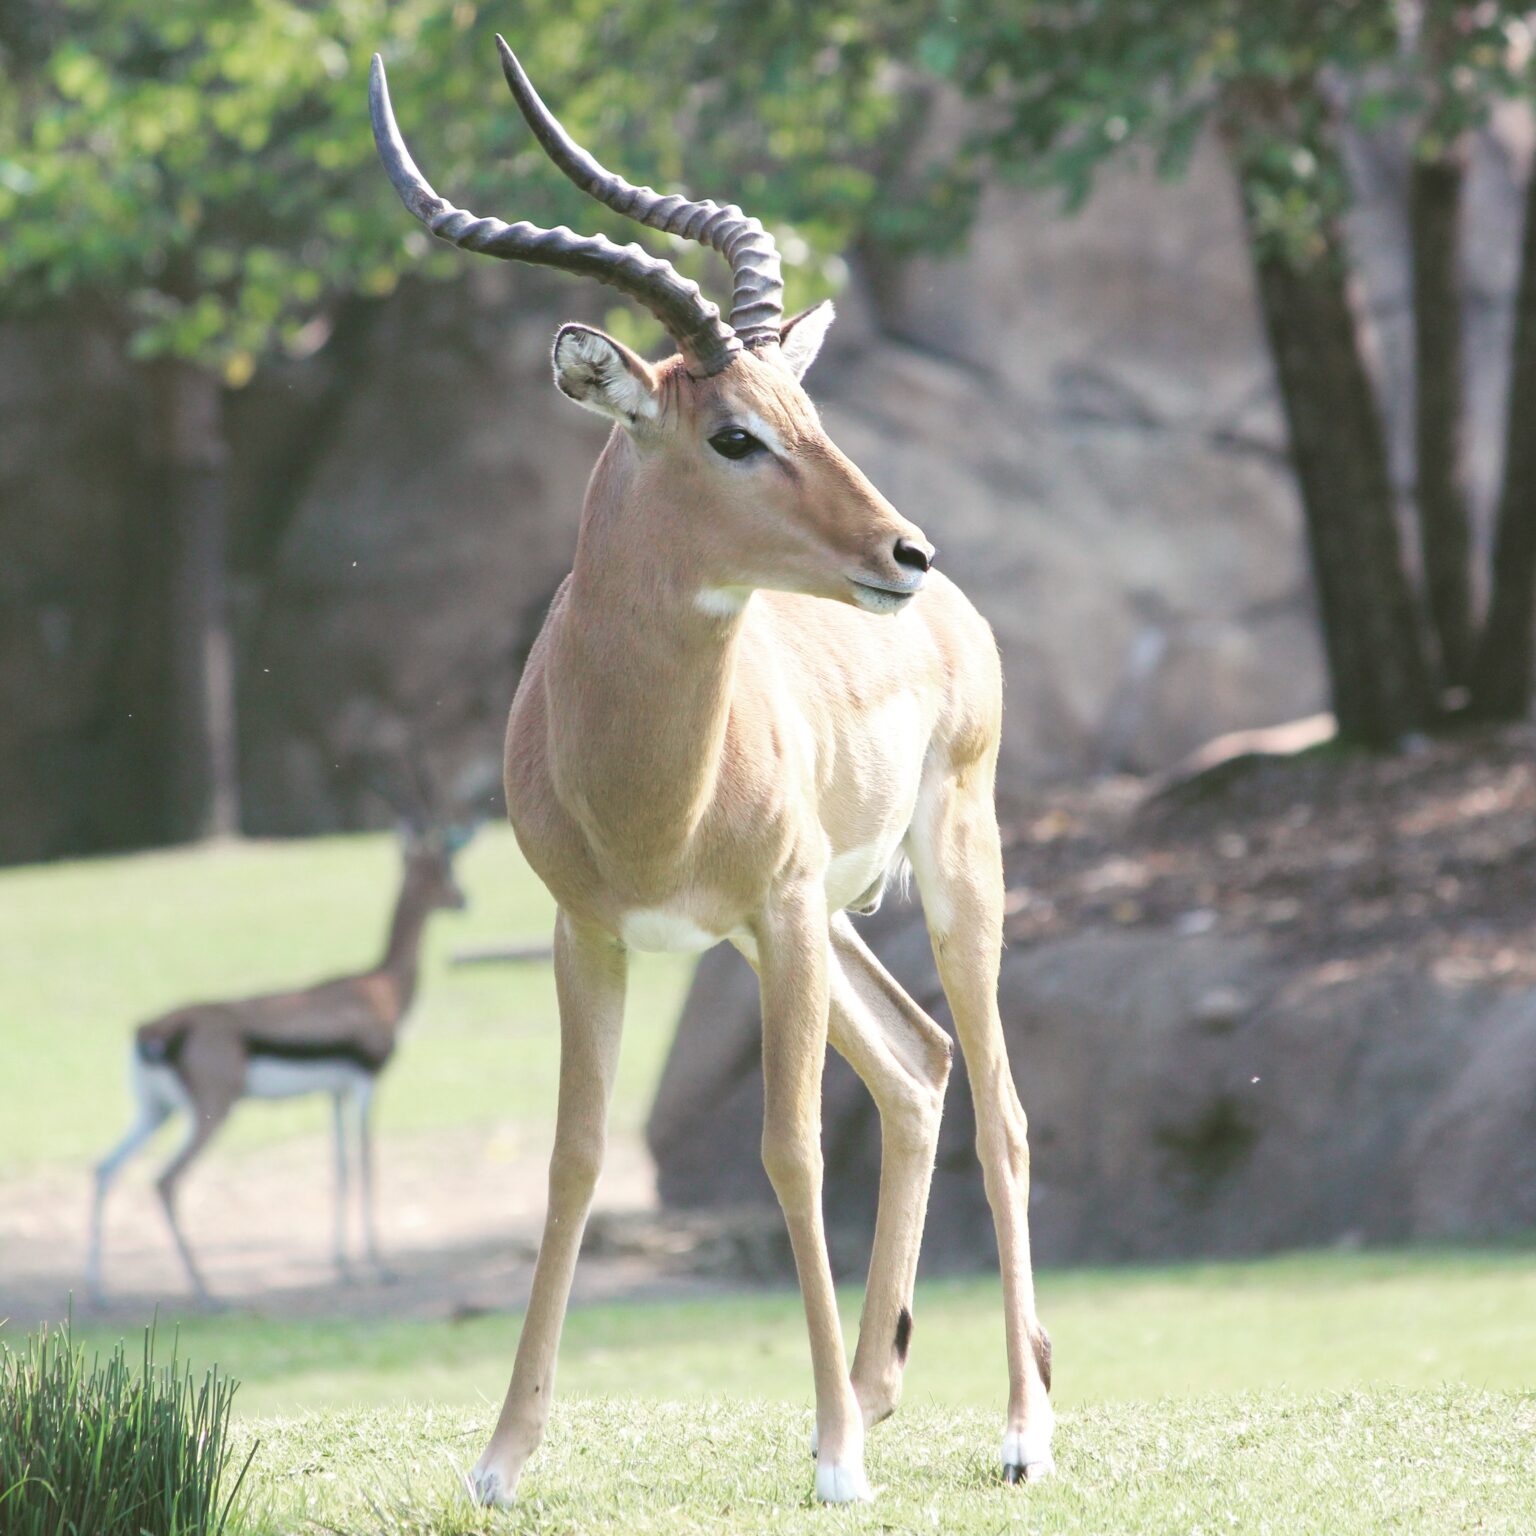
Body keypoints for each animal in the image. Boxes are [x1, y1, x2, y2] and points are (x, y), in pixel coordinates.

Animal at [86, 818, 473, 1303]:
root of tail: (154, 1030)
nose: (464, 900)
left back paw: (98, 1293)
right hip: (210, 1113)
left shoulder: (335, 1093)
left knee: (103, 1169)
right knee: (165, 1180)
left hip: (155, 1112)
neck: (378, 987)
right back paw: (204, 1290)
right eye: (442, 869)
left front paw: (343, 1265)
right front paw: (378, 1266)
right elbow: (366, 1163)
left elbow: (340, 1166)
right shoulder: (366, 1084)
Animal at [370, 40, 1055, 1504]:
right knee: (915, 1064)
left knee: (999, 1105)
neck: (642, 783)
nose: (905, 550)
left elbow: (788, 1150)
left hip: (937, 871)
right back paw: (879, 1388)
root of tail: (962, 619)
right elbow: (574, 1161)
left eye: (806, 407)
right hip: (797, 934)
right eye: (735, 433)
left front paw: (837, 1463)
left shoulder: (780, 912)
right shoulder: (592, 933)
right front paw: (503, 1457)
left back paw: (1018, 1431)